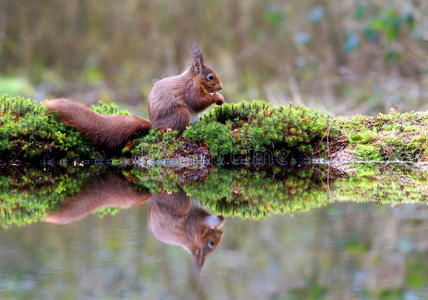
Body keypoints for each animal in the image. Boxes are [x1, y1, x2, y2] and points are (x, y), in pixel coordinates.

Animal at [43, 45, 224, 147]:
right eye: (210, 77)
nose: (221, 87)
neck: (194, 80)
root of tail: (155, 124)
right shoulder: (190, 90)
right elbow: (197, 102)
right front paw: (216, 97)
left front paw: (220, 97)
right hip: (181, 114)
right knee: (170, 130)